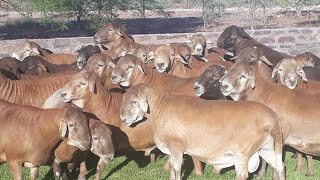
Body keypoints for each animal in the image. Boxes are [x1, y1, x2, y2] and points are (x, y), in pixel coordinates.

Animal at [119, 84, 284, 180]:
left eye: (134, 101)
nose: (123, 118)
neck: (160, 109)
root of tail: (272, 118)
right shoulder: (172, 150)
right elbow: (172, 170)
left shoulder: (176, 147)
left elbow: (177, 170)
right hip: (266, 148)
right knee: (280, 167)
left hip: (243, 152)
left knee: (242, 175)